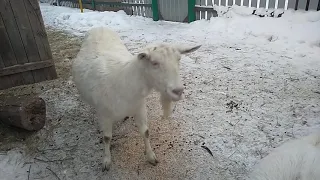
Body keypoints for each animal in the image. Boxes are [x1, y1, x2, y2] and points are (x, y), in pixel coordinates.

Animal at [72, 26, 201, 170]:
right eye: (154, 63)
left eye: (179, 59)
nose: (178, 91)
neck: (124, 83)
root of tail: (99, 27)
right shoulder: (104, 113)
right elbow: (106, 137)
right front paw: (106, 161)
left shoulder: (139, 107)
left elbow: (145, 132)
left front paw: (151, 157)